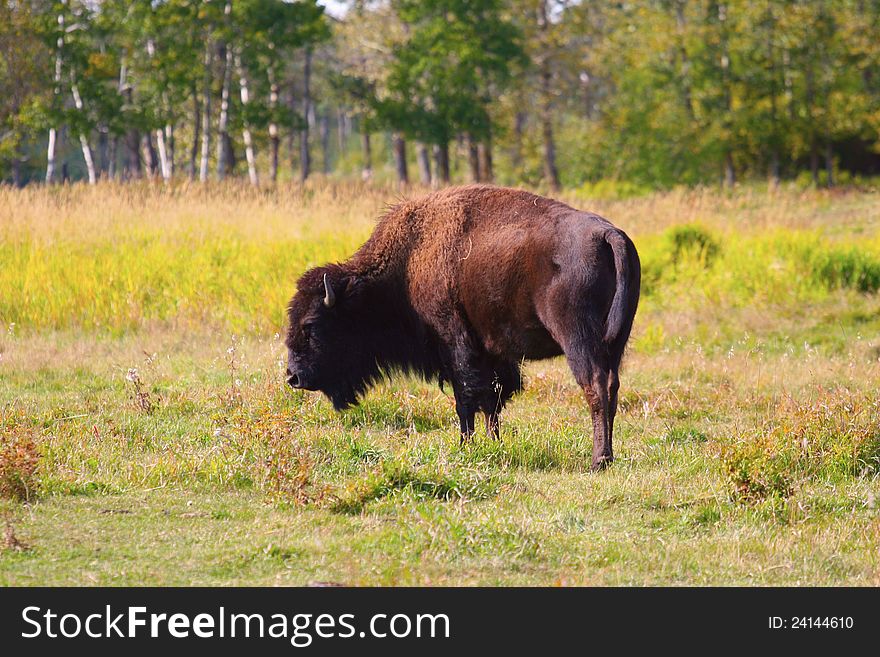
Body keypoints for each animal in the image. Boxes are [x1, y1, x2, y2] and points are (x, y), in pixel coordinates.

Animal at [288, 184, 640, 472]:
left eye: (311, 326)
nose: (293, 377)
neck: (408, 263)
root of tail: (608, 235)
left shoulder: (456, 343)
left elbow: (466, 398)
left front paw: (464, 447)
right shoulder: (492, 353)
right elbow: (493, 400)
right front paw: (495, 444)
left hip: (577, 339)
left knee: (595, 385)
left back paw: (598, 460)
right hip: (615, 342)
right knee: (612, 386)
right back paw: (607, 456)